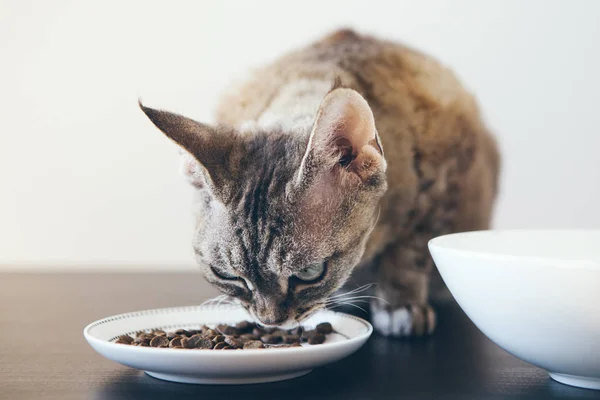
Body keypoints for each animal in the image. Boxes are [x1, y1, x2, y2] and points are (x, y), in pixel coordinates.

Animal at [138, 28, 500, 338]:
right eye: (226, 275)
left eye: (311, 273)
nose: (269, 320)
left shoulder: (445, 182)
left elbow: (410, 252)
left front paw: (400, 304)